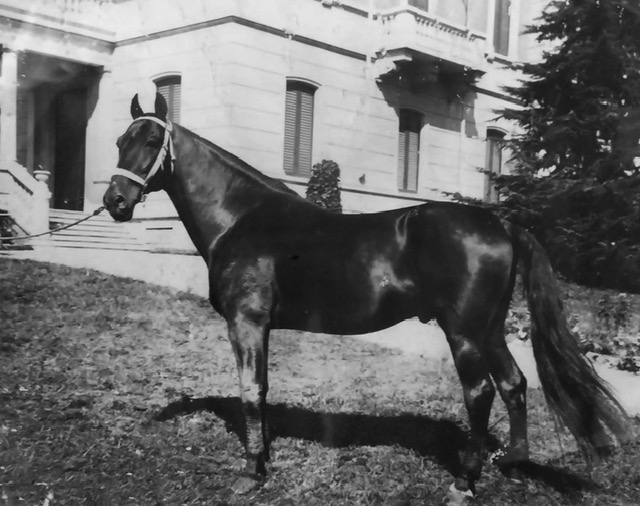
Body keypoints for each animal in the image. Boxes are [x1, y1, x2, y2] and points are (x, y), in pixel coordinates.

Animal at [103, 93, 630, 503]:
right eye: (119, 142)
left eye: (150, 143)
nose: (115, 202)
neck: (243, 218)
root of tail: (499, 223)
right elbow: (263, 390)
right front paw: (263, 458)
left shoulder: (246, 321)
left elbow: (251, 391)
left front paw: (252, 472)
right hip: (491, 328)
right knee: (514, 384)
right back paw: (514, 467)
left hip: (463, 332)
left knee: (480, 392)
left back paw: (464, 481)